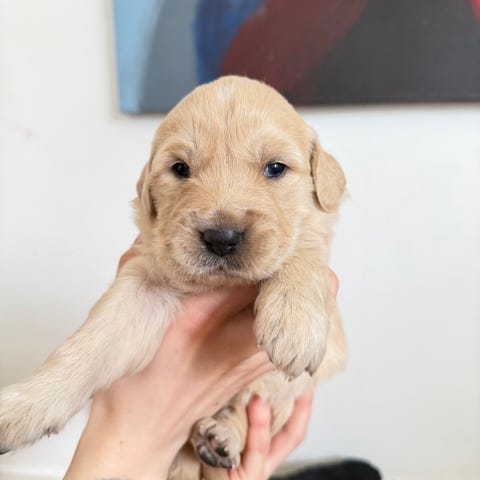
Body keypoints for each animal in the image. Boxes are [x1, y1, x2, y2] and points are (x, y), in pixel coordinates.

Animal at [0, 76, 347, 479]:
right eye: (180, 168)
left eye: (275, 168)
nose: (221, 238)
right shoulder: (144, 283)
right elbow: (88, 344)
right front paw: (27, 404)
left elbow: (303, 248)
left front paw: (294, 323)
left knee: (254, 408)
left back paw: (222, 436)